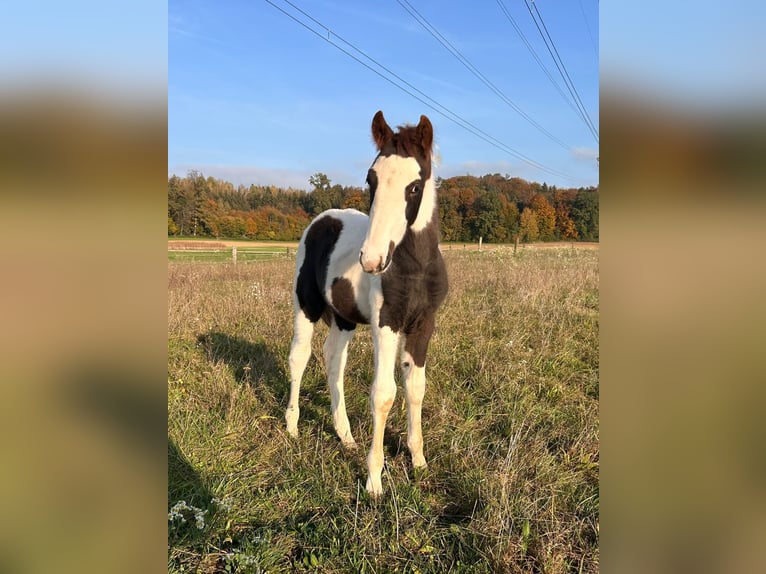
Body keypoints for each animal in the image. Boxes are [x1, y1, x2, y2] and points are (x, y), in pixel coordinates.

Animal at [284, 110, 448, 498]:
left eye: (414, 186)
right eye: (370, 179)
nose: (372, 260)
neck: (414, 267)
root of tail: (323, 219)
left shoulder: (424, 323)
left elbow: (415, 387)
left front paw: (419, 461)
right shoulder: (385, 323)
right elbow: (384, 393)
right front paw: (375, 479)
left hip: (344, 319)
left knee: (333, 361)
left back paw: (344, 436)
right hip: (305, 306)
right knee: (300, 357)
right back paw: (293, 426)